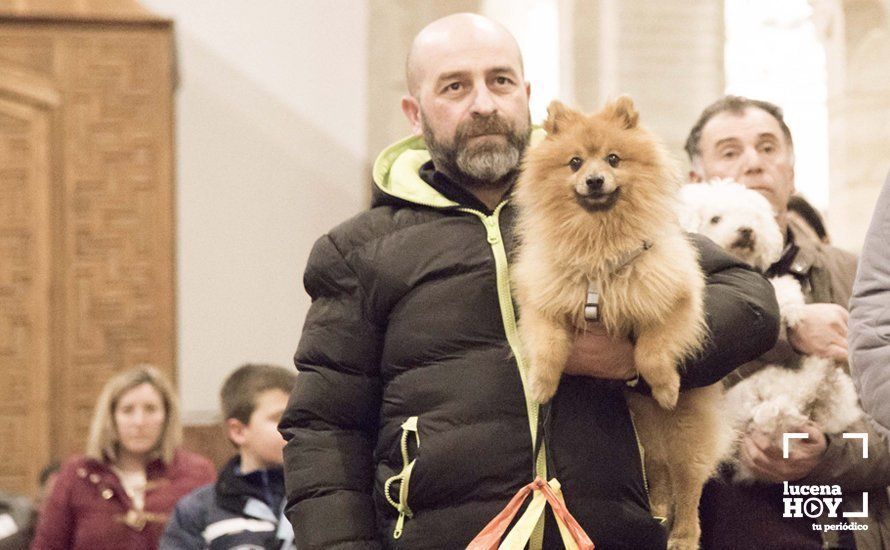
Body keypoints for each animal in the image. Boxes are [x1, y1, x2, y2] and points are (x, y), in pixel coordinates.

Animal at [510, 97, 724, 548]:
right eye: (575, 162)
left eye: (613, 159)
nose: (594, 180)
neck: (600, 248)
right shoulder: (544, 300)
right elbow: (548, 345)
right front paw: (541, 385)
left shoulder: (675, 300)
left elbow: (652, 350)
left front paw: (665, 387)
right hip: (646, 433)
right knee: (658, 473)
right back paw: (658, 508)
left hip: (684, 433)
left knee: (688, 485)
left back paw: (682, 534)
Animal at [676, 180, 856, 484]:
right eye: (715, 219)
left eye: (751, 215)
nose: (747, 230)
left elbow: (778, 287)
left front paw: (792, 307)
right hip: (748, 400)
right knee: (781, 409)